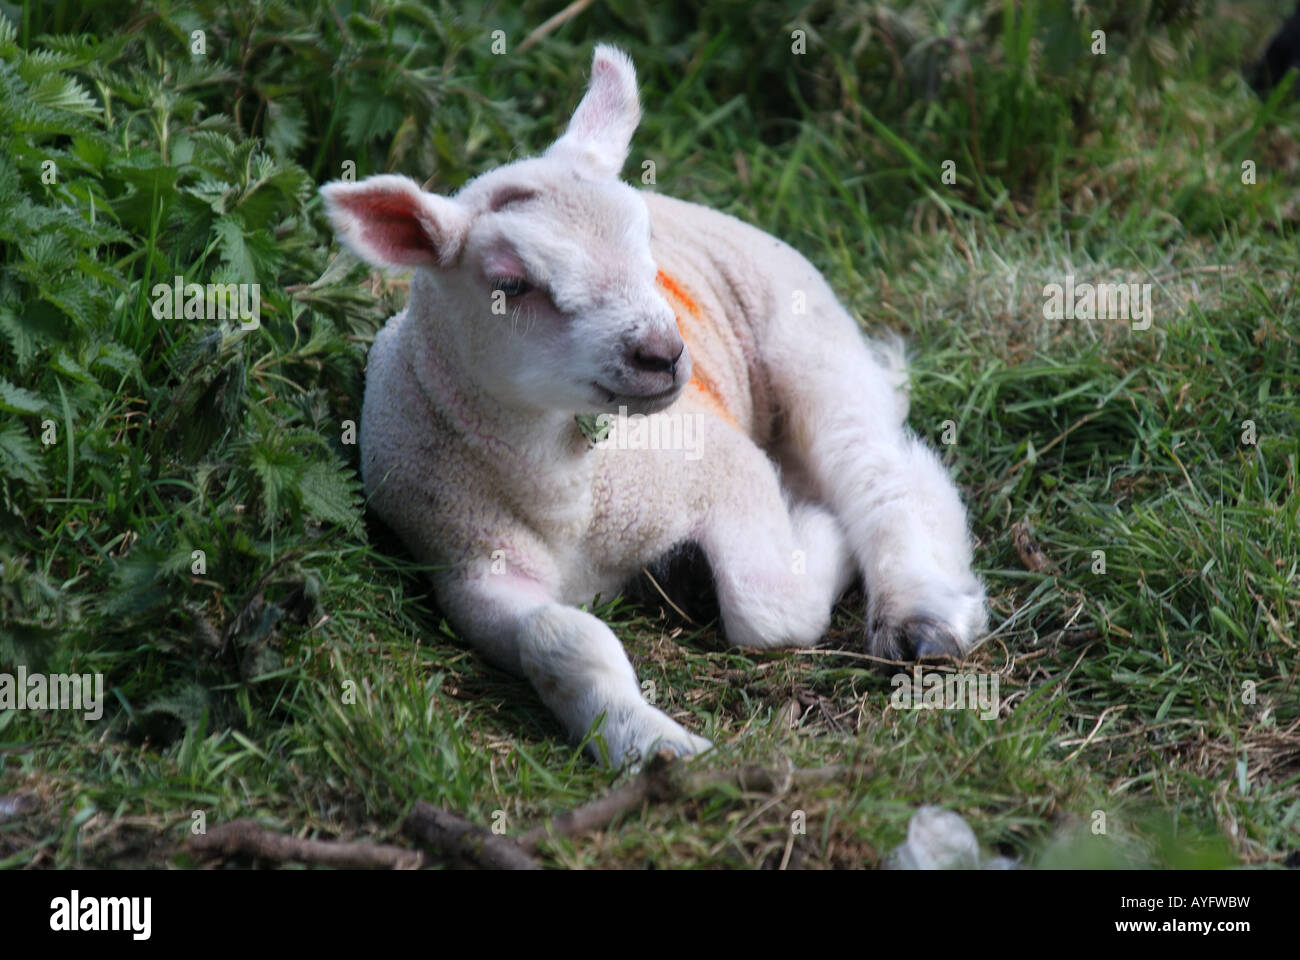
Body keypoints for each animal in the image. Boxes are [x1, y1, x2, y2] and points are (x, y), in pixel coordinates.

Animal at [321, 45, 987, 767]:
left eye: (646, 250)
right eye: (511, 285)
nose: (664, 354)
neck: (567, 494)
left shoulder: (722, 465)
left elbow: (766, 605)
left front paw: (817, 530)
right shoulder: (468, 566)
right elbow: (561, 641)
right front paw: (649, 745)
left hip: (805, 338)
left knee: (880, 470)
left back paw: (920, 616)